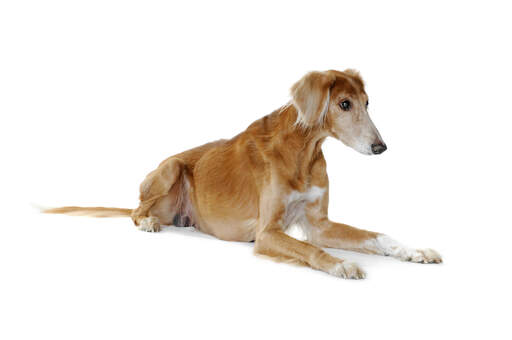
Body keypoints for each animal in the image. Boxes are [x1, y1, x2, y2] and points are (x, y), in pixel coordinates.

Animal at [46, 69, 442, 278]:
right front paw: (342, 263)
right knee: (135, 211)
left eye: (367, 103)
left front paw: (414, 250)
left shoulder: (320, 225)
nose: (381, 147)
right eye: (344, 104)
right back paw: (149, 222)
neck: (303, 152)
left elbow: (377, 236)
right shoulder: (267, 233)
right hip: (171, 168)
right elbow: (309, 250)